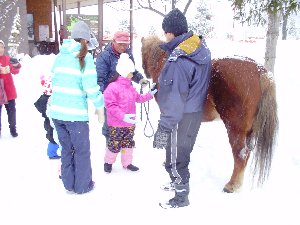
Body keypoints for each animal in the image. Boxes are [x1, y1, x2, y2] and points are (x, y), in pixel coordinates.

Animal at [142, 35, 278, 193]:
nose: (145, 74)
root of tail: (260, 71)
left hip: (235, 128)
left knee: (240, 155)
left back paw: (231, 185)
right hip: (250, 131)